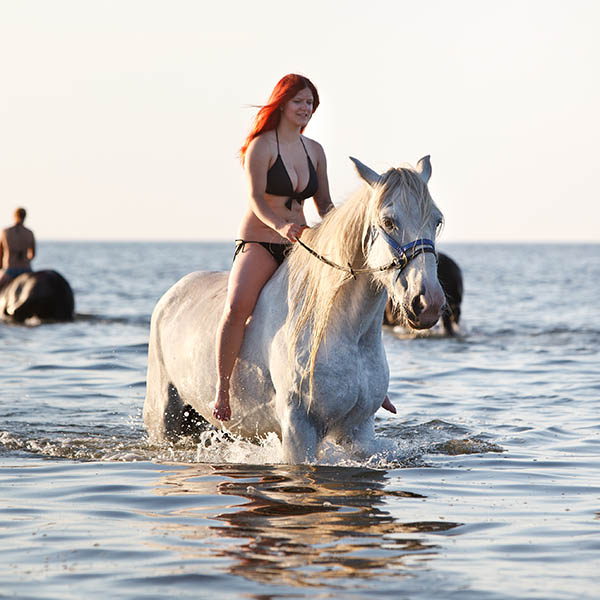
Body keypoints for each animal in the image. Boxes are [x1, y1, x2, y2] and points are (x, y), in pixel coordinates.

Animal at [144, 156, 446, 464]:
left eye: (437, 220)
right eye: (388, 221)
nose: (428, 303)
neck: (345, 331)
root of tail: (171, 296)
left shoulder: (359, 429)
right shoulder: (298, 428)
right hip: (165, 419)